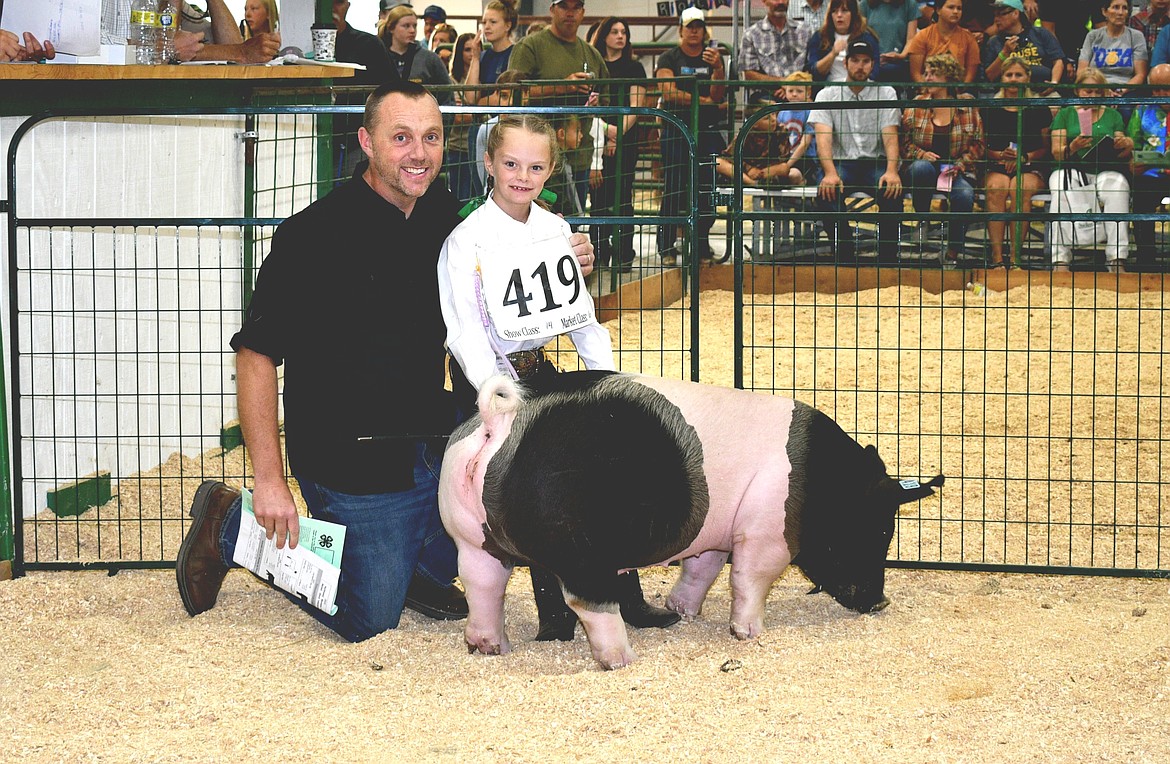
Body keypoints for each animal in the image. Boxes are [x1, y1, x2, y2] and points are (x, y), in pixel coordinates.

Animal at [437, 372, 940, 669]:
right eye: (875, 528)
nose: (880, 602)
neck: (822, 483)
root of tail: (498, 422)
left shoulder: (715, 535)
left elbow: (703, 568)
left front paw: (682, 611)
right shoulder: (764, 532)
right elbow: (749, 579)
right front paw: (748, 634)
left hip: (471, 538)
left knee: (483, 585)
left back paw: (491, 648)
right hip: (579, 548)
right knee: (587, 600)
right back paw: (622, 660)